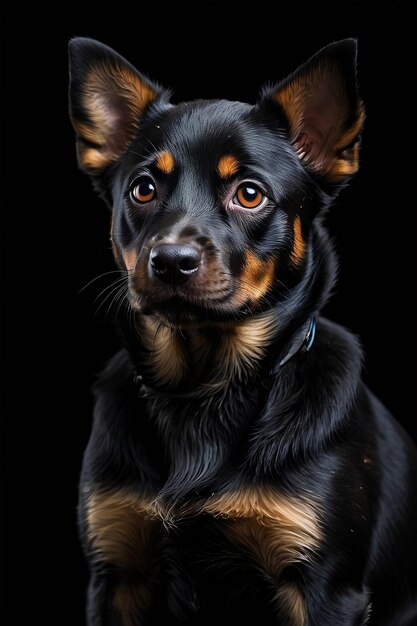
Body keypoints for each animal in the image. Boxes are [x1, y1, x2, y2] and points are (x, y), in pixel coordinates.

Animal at [68, 37, 416, 620]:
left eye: (250, 194)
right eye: (143, 189)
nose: (171, 261)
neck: (204, 389)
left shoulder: (325, 588)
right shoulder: (116, 575)